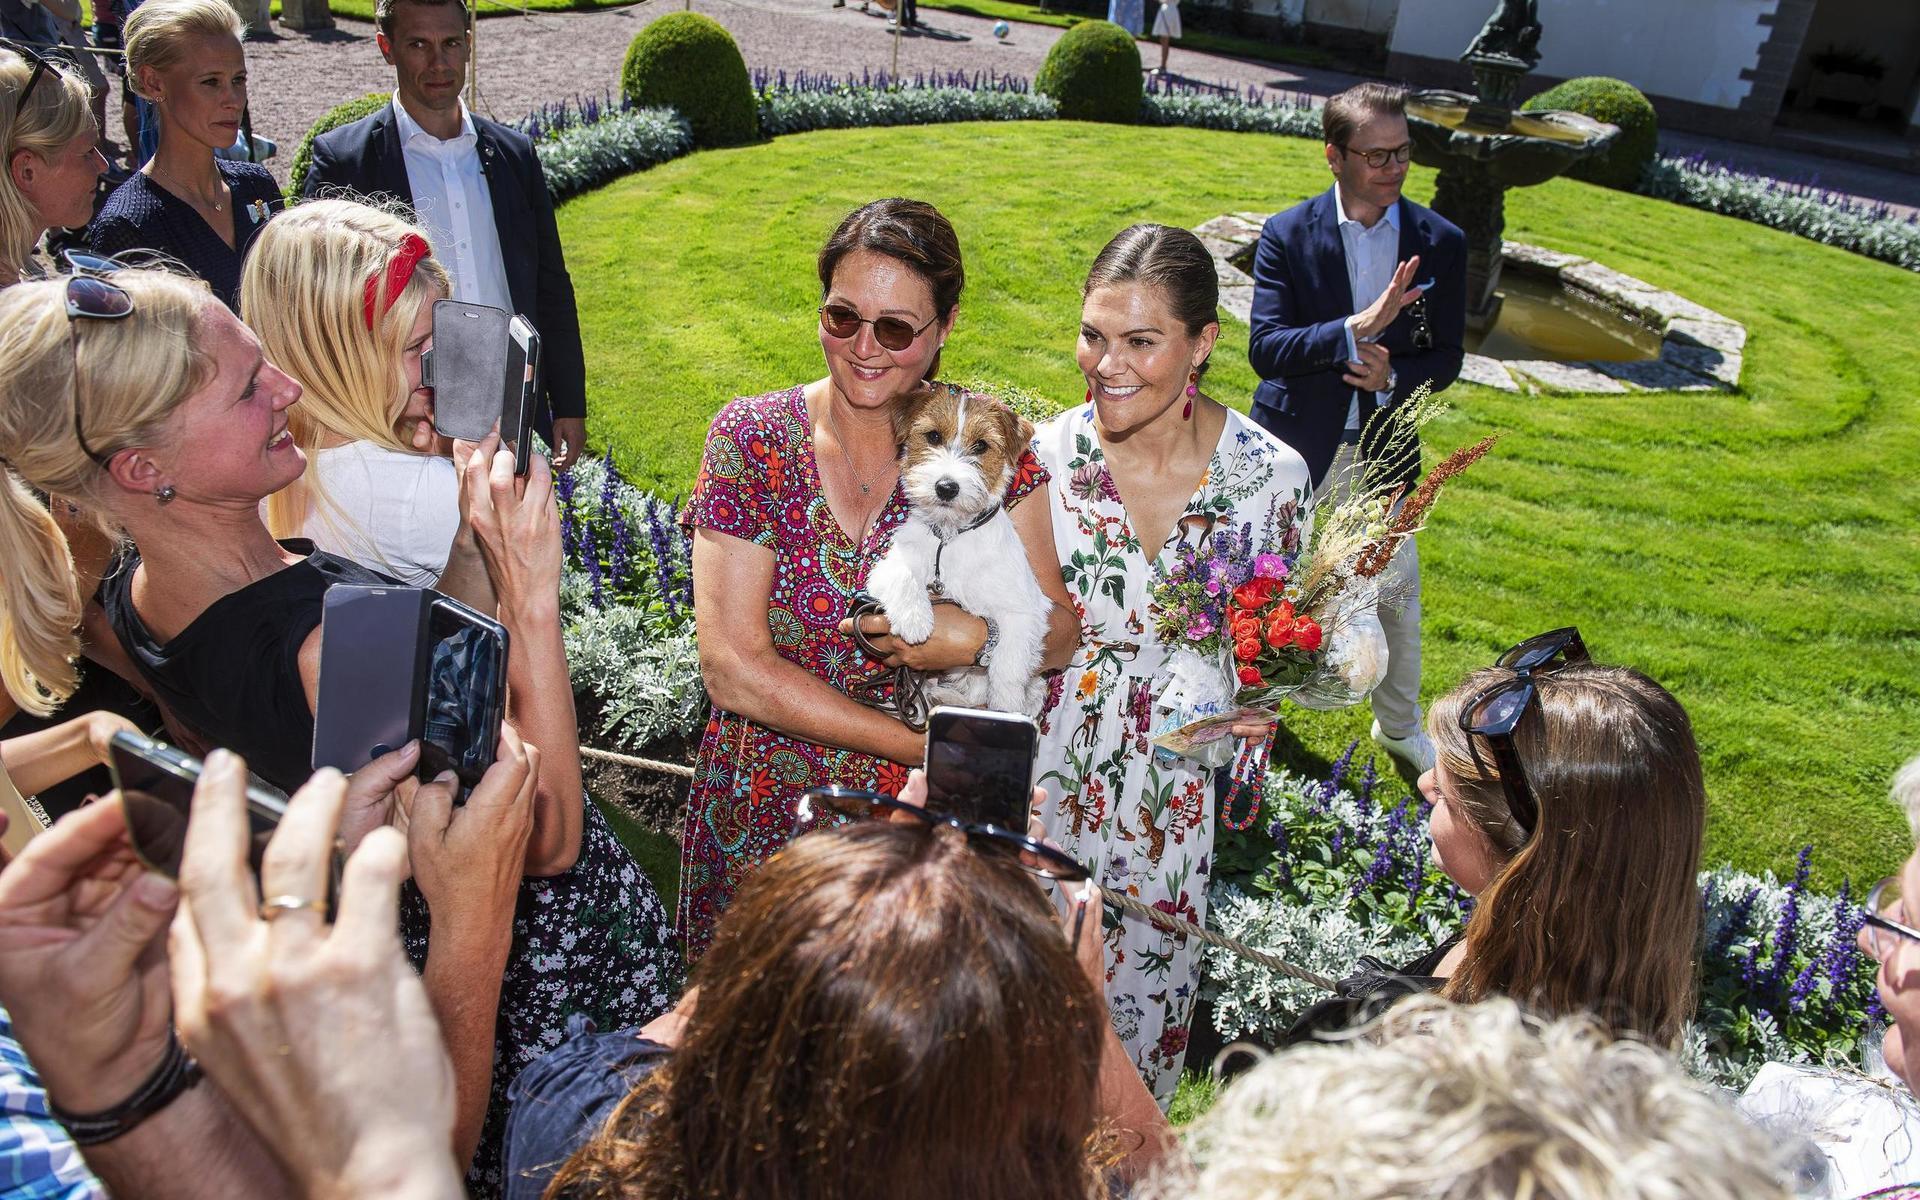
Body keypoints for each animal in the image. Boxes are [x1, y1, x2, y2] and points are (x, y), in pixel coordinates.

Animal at [867, 387, 1052, 714]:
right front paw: (915, 619)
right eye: (933, 436)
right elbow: (903, 575)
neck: (950, 537)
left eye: (981, 446)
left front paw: (1005, 708)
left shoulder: (1025, 610)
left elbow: (1009, 664)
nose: (946, 487)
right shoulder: (889, 565)